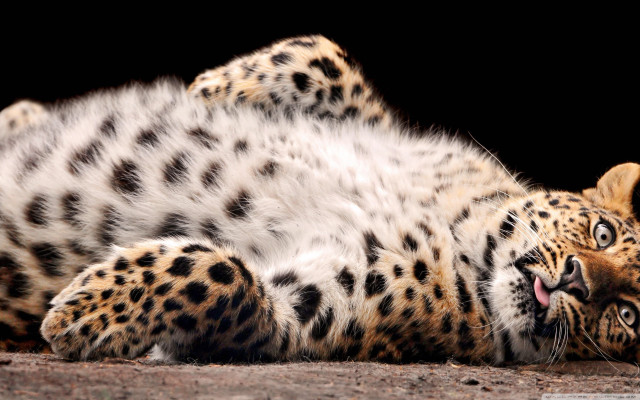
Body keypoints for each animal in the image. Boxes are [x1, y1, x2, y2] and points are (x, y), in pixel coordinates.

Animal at [0, 35, 639, 365]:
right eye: (601, 233)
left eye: (627, 315)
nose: (579, 280)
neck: (461, 234)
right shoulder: (384, 131)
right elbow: (325, 56)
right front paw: (212, 90)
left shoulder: (310, 316)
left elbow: (226, 275)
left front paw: (87, 312)